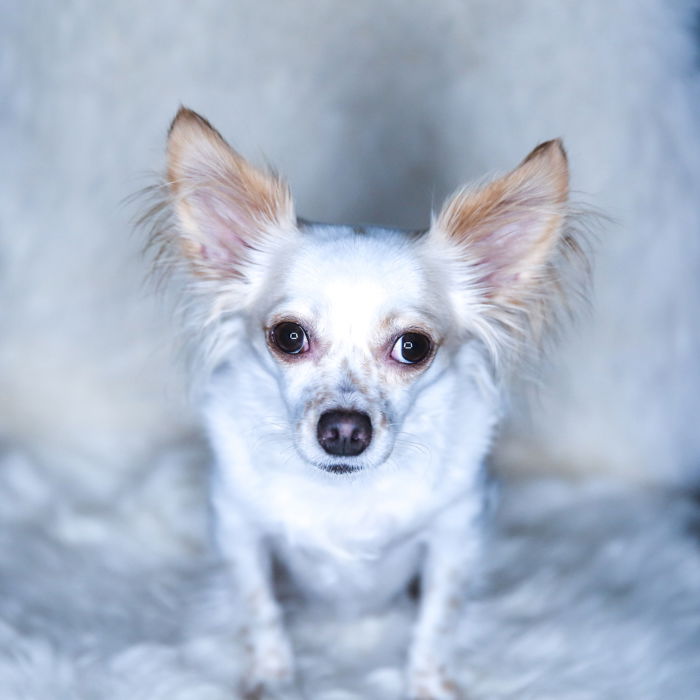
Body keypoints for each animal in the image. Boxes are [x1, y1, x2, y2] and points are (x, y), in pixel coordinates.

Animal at [152, 106, 584, 696]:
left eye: (413, 347)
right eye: (288, 337)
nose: (344, 431)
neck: (345, 498)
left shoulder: (455, 536)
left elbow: (436, 621)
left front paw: (428, 684)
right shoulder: (239, 529)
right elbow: (260, 608)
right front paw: (273, 678)